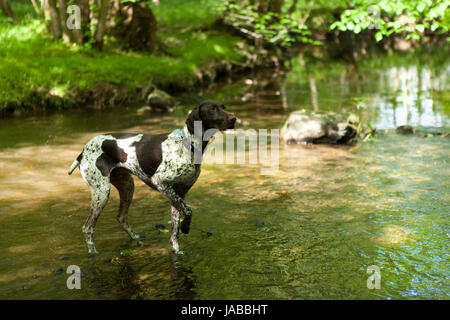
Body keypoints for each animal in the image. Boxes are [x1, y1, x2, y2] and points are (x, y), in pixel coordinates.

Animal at [68, 100, 237, 255]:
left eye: (223, 107)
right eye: (212, 109)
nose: (234, 119)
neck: (187, 144)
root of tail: (83, 150)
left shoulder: (179, 193)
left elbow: (175, 228)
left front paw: (177, 250)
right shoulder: (160, 183)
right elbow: (189, 210)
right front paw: (185, 227)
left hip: (127, 186)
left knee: (121, 217)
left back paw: (136, 238)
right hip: (101, 193)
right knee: (87, 228)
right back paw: (93, 253)